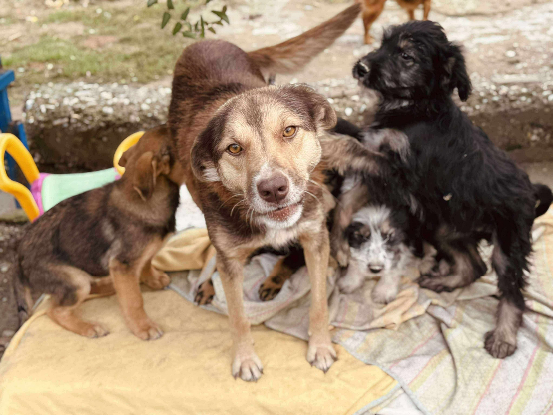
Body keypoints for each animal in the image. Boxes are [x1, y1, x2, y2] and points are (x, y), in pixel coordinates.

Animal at [13, 125, 183, 340]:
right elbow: (134, 300)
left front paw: (152, 278)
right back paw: (89, 327)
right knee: (55, 310)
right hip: (74, 281)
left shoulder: (134, 259)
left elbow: (147, 262)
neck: (148, 199)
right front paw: (143, 327)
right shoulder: (122, 265)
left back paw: (109, 286)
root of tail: (18, 261)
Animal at [167, 4, 361, 381]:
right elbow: (238, 317)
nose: (273, 189)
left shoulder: (315, 239)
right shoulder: (231, 260)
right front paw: (244, 359)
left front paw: (320, 347)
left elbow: (318, 303)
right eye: (234, 148)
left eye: (289, 131)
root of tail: (208, 41)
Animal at [322, 20, 553, 359]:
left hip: (508, 241)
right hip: (441, 227)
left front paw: (327, 142)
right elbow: (347, 201)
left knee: (511, 289)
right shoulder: (381, 170)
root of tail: (531, 188)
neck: (415, 107)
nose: (361, 68)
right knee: (475, 265)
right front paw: (339, 243)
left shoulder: (398, 172)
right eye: (383, 43)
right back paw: (446, 282)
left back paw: (504, 337)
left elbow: (351, 147)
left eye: (406, 56)